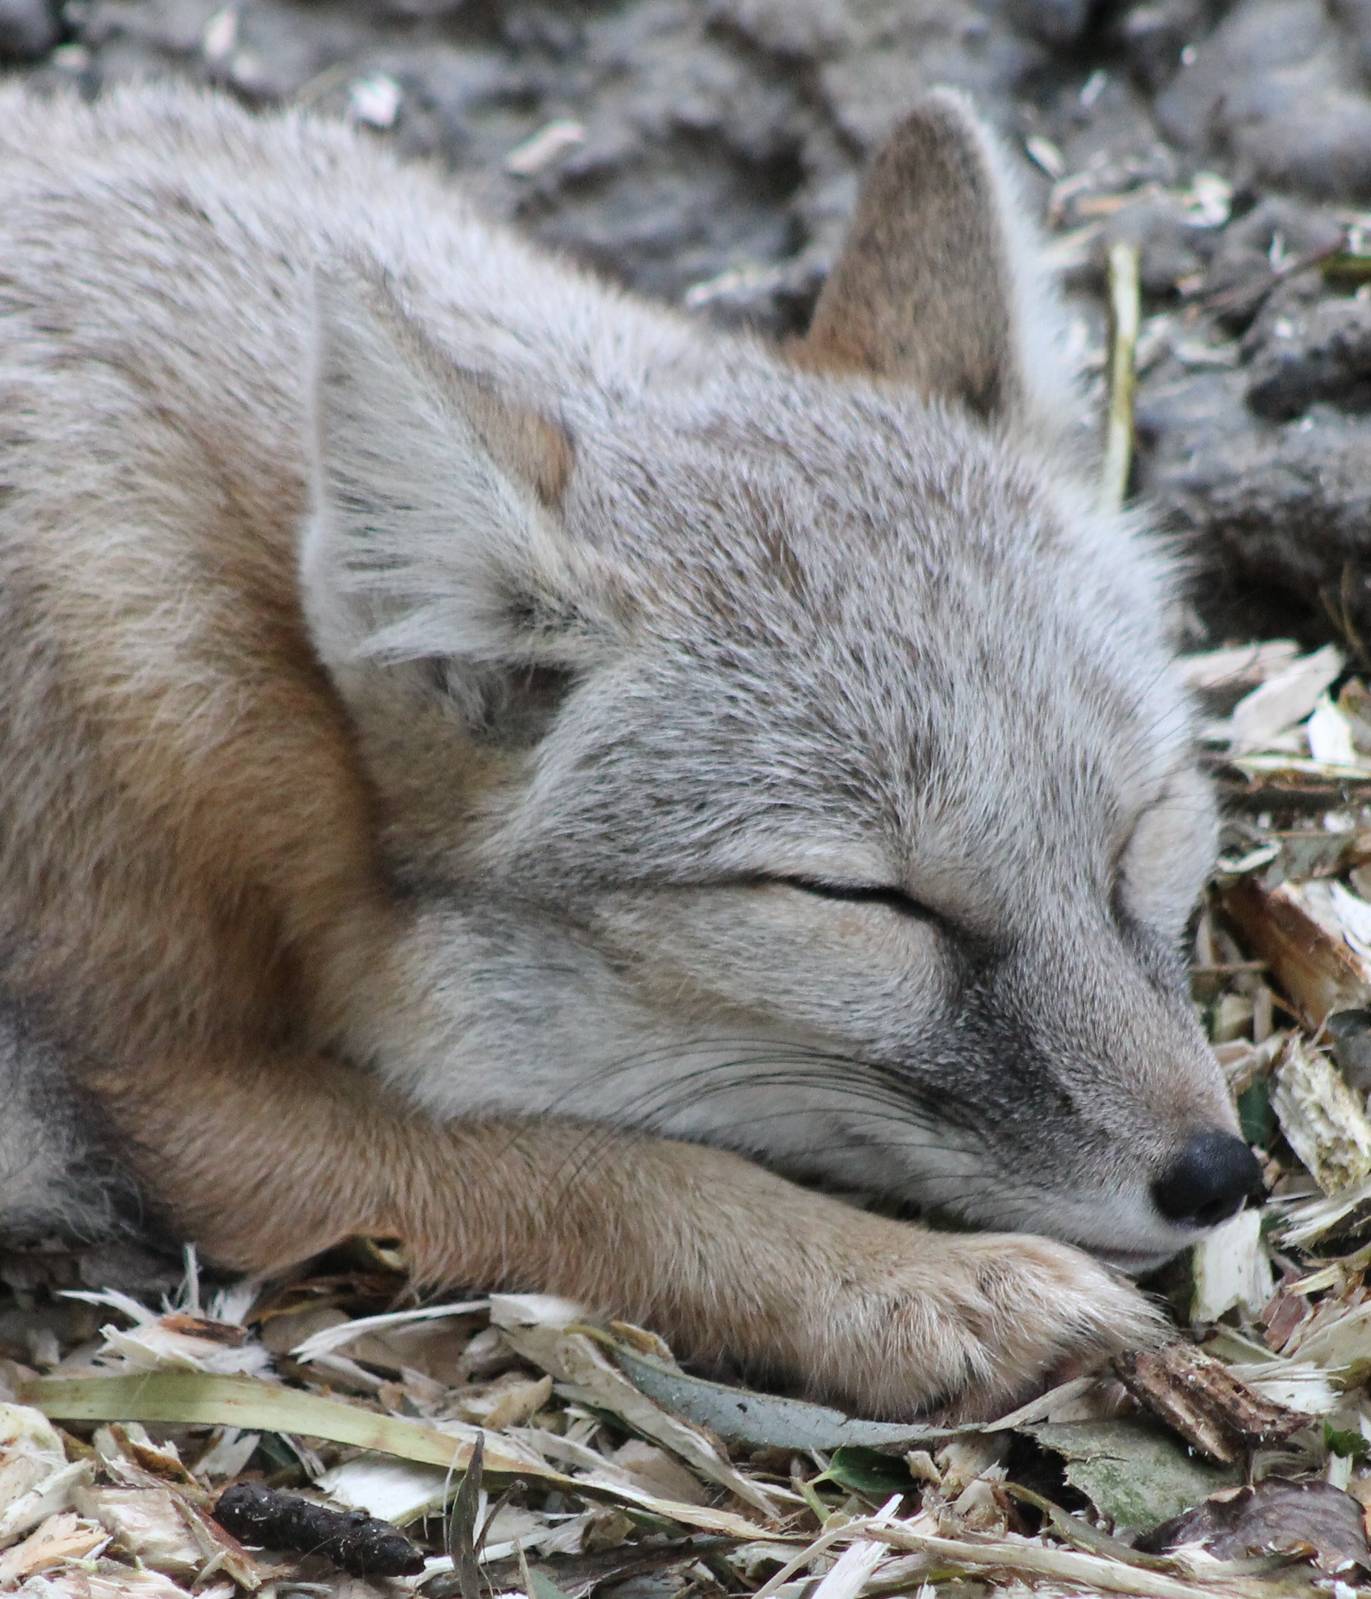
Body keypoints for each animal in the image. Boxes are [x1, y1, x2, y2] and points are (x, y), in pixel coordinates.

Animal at [0, 79, 1261, 1420]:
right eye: (862, 899)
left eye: (1145, 829)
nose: (1219, 1173)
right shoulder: (179, 1087)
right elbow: (612, 1174)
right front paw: (913, 1282)